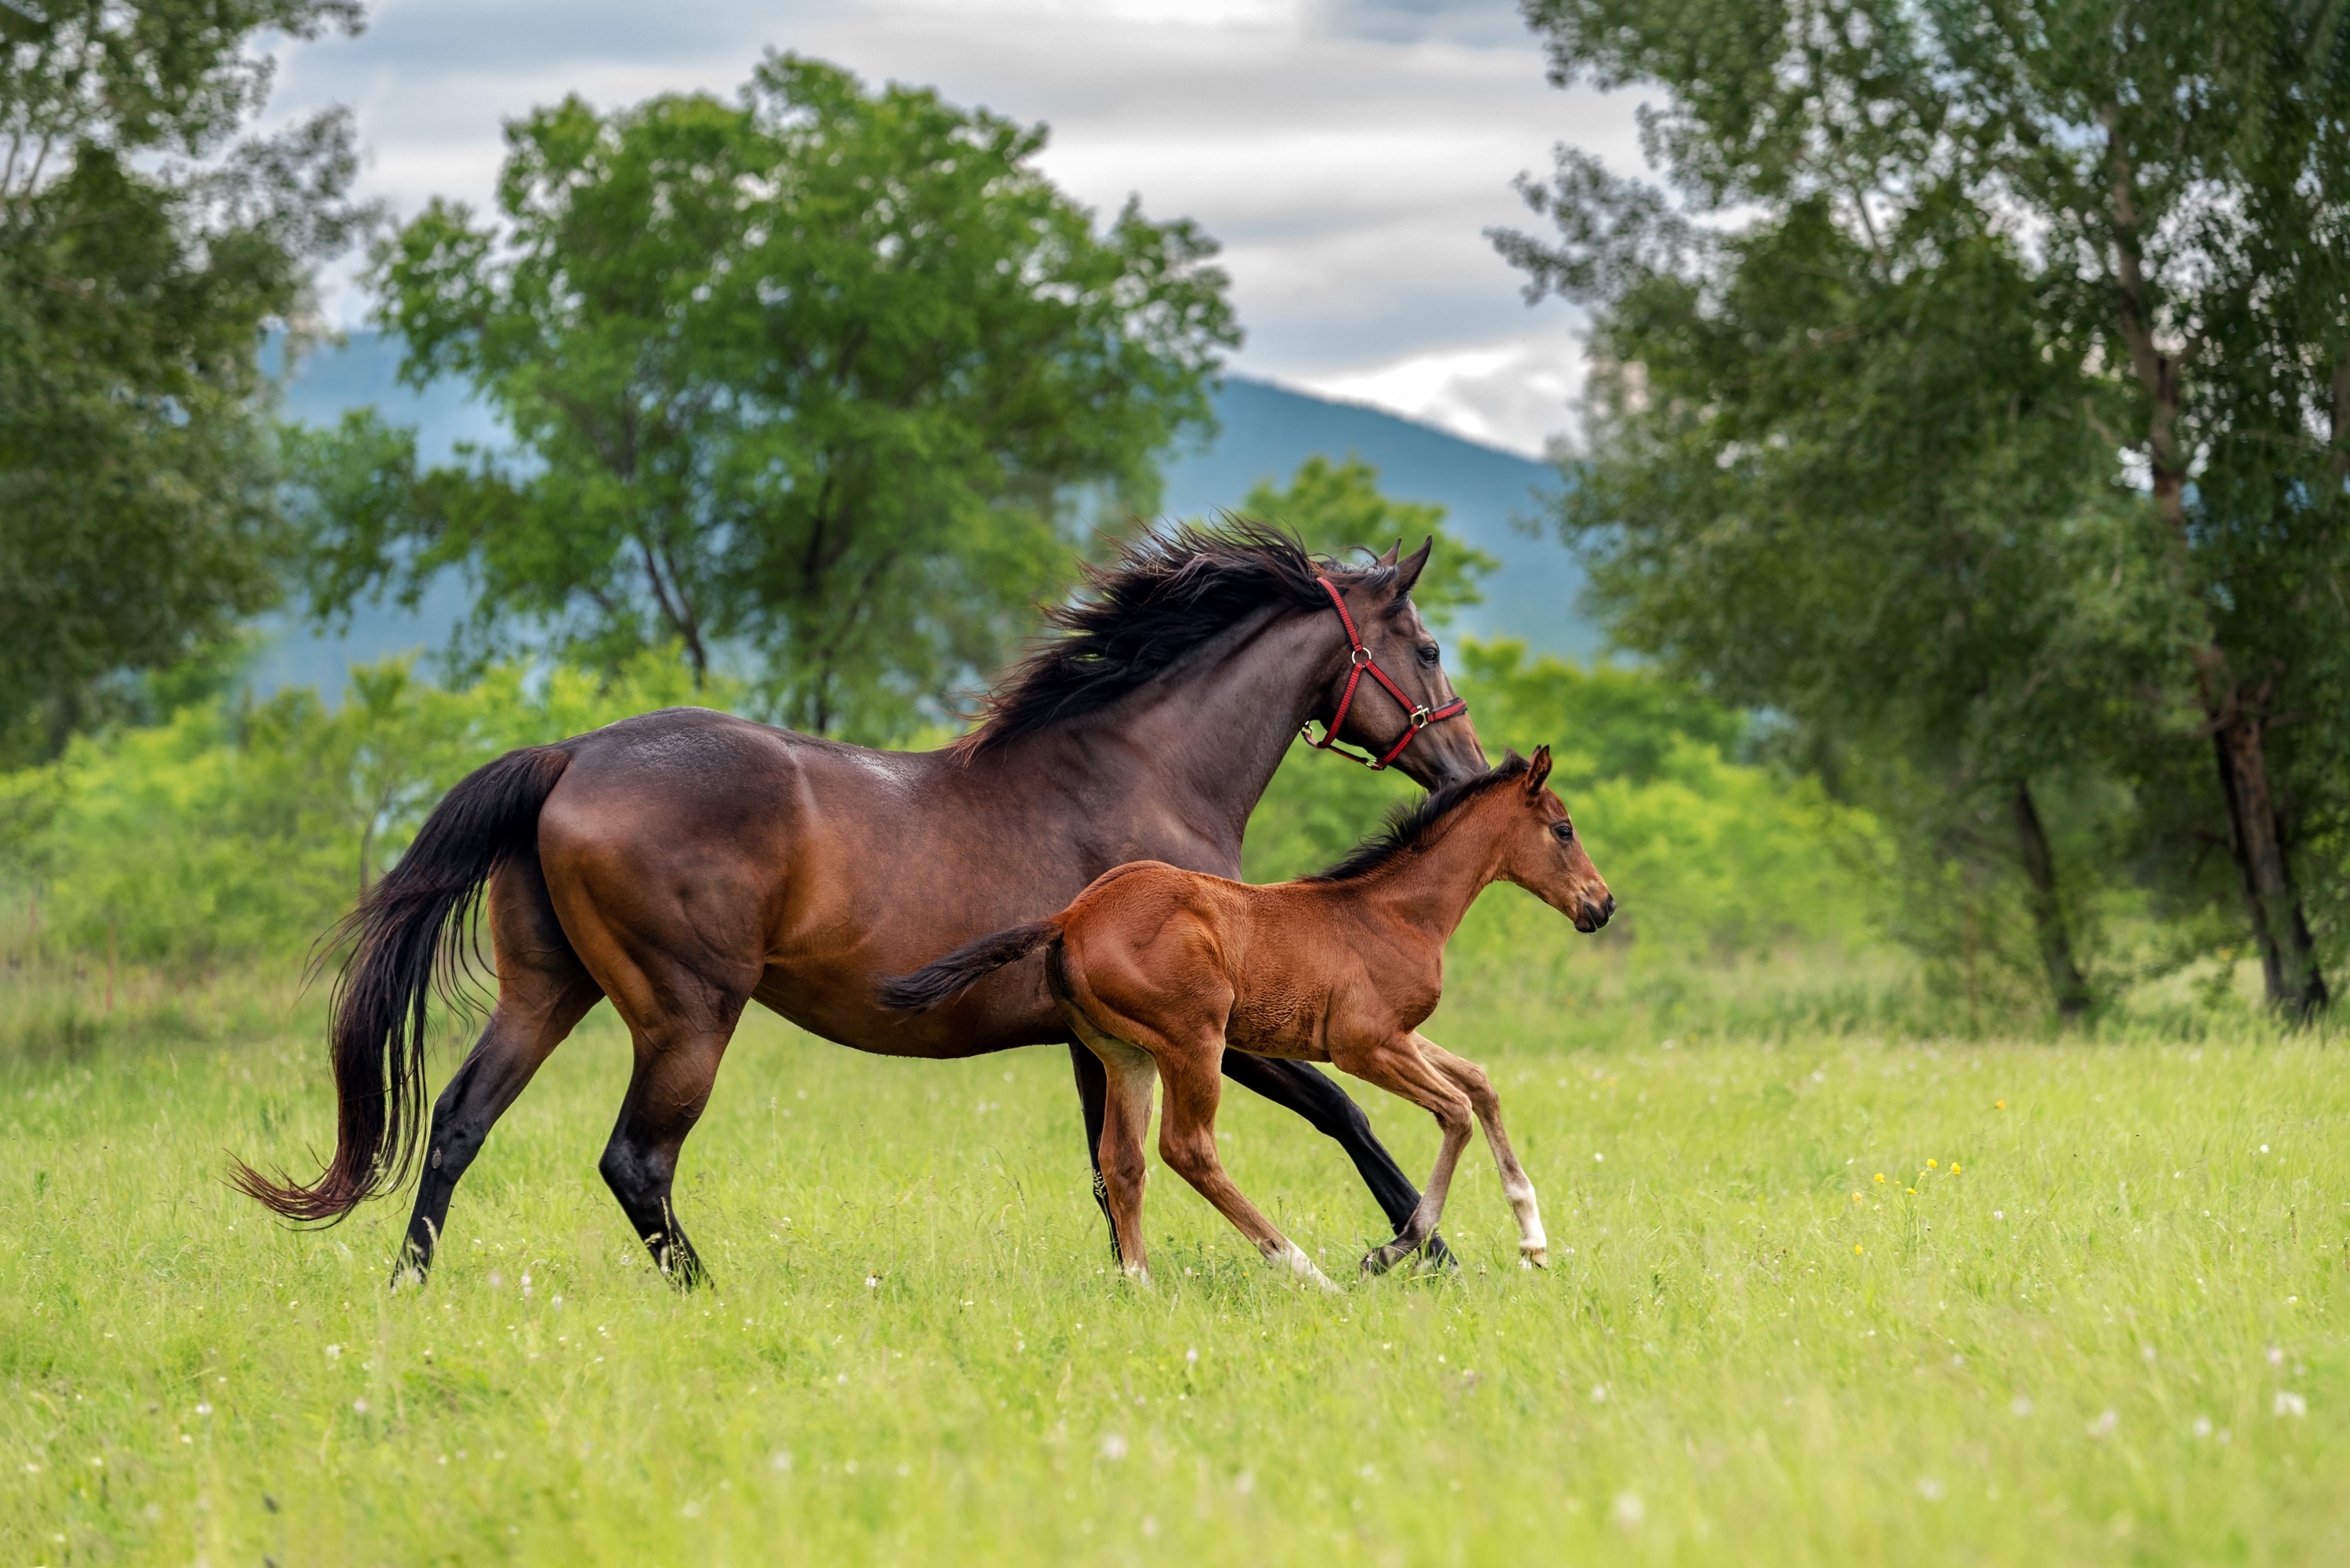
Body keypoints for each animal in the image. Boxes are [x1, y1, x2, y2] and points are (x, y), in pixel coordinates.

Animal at [884, 752, 1617, 1297]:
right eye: (1564, 829)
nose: (1602, 905)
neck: (1396, 911)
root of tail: (1070, 917)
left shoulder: (1399, 1036)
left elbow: (1482, 1084)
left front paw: (1533, 1239)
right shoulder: (1363, 1046)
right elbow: (1457, 1111)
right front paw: (1390, 1250)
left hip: (1125, 1054)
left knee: (1121, 1158)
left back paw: (1141, 1283)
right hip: (1193, 1043)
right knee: (1187, 1149)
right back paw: (1304, 1270)